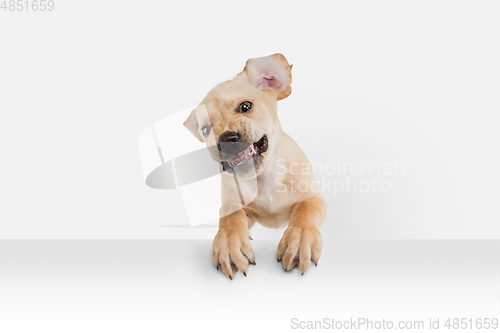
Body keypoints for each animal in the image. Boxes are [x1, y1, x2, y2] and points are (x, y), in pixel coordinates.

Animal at [183, 53, 324, 278]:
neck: (264, 178)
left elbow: (305, 211)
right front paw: (229, 242)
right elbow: (230, 215)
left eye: (245, 107)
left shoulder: (314, 198)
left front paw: (300, 238)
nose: (225, 139)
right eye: (205, 129)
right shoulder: (234, 203)